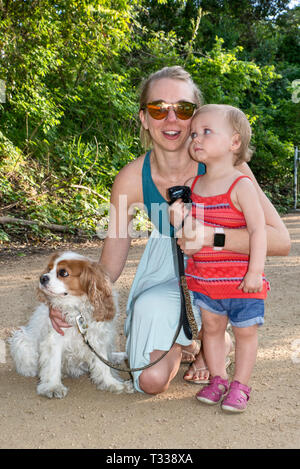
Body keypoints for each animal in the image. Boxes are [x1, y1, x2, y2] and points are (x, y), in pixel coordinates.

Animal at [8, 250, 133, 396]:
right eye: (49, 269)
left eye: (63, 273)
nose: (43, 278)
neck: (77, 310)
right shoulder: (54, 340)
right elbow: (53, 364)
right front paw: (53, 387)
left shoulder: (98, 339)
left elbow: (103, 366)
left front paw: (113, 384)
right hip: (21, 339)